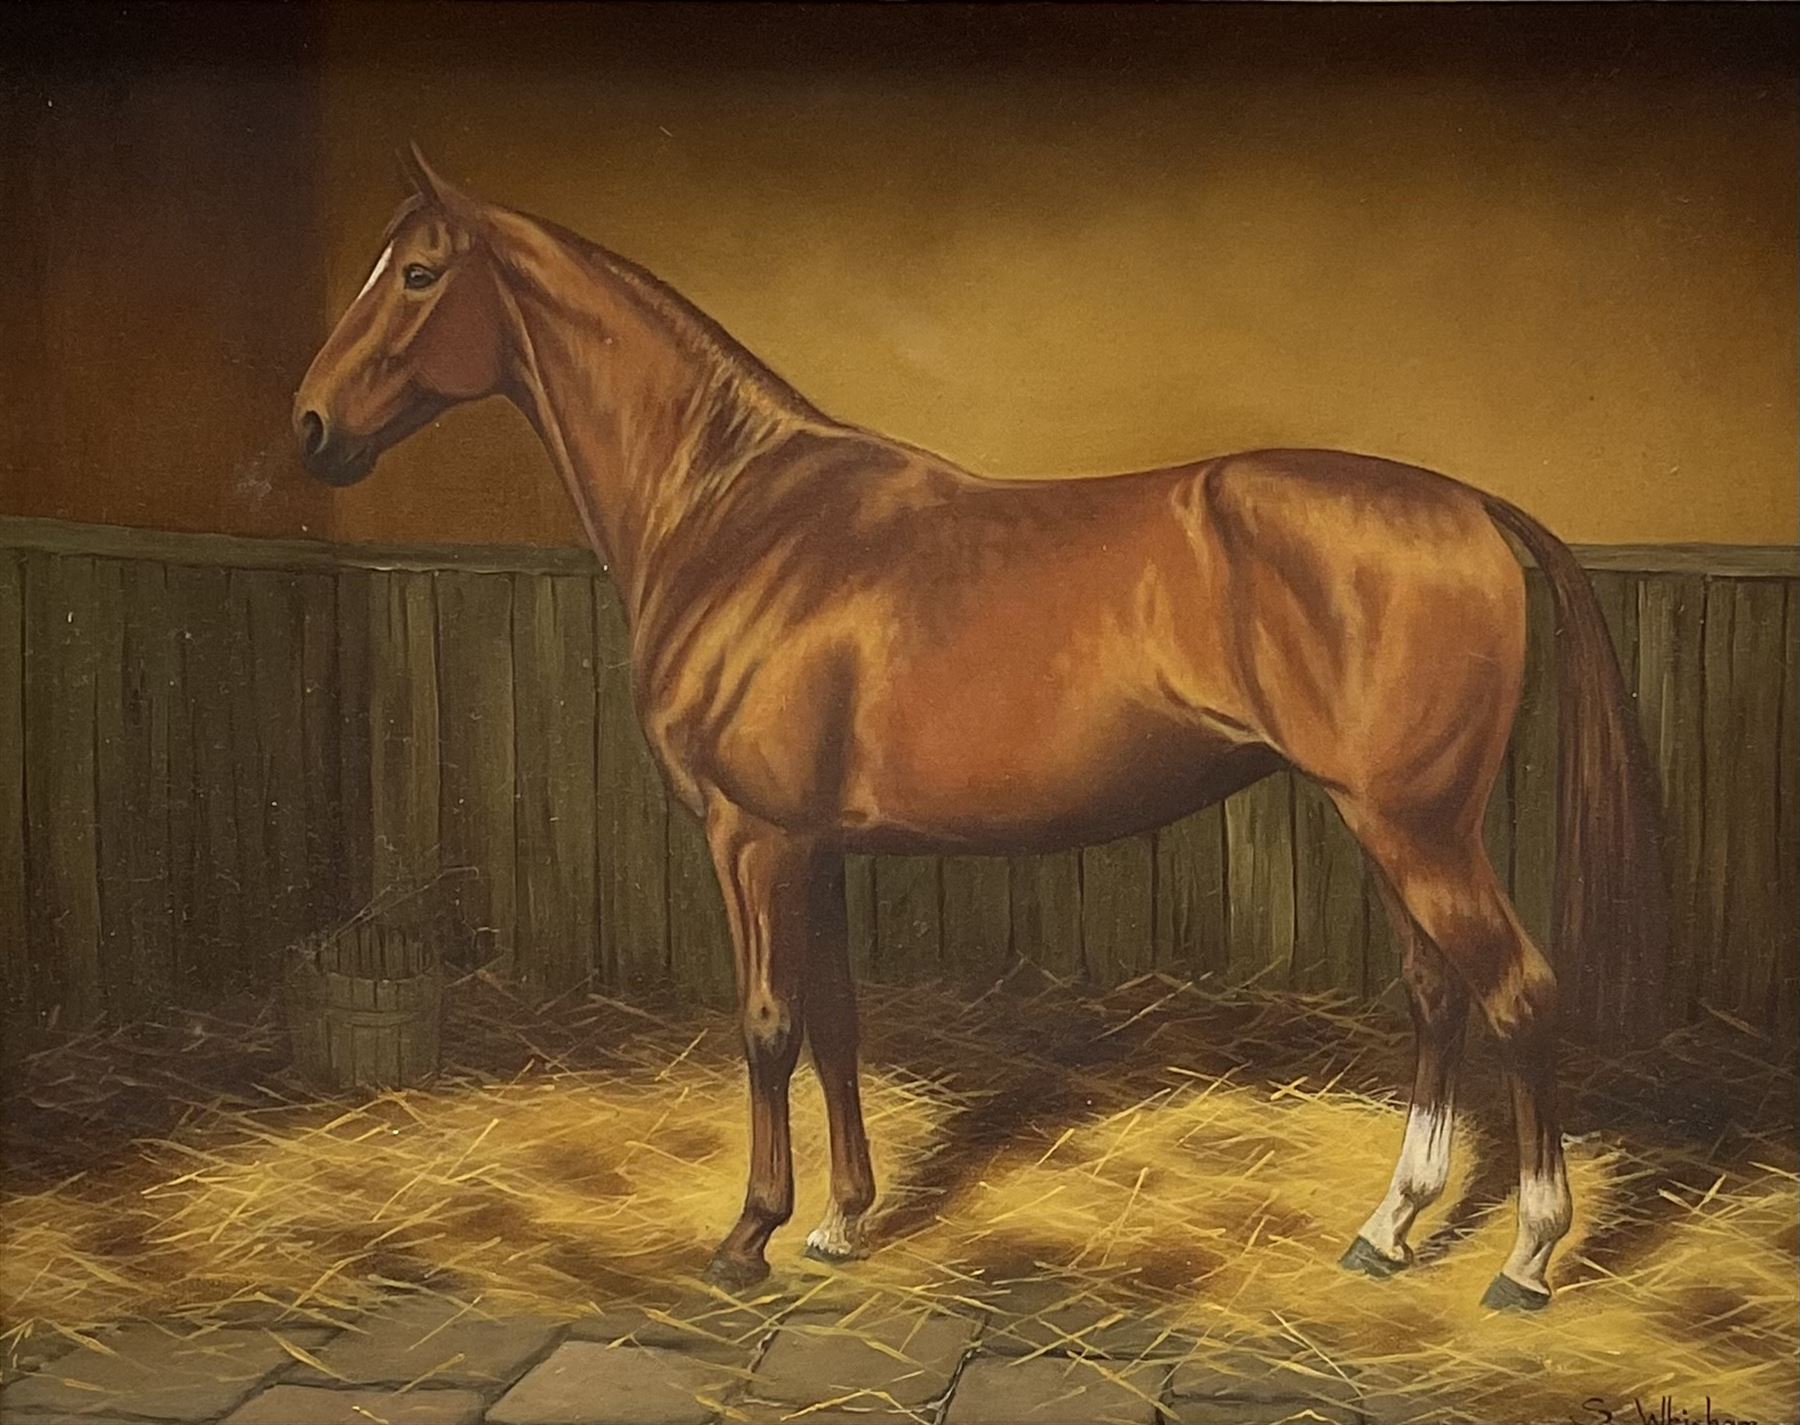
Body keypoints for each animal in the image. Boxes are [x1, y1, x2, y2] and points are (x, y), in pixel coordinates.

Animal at [294, 147, 1667, 1311]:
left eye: (418, 272)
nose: (309, 428)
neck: (737, 510)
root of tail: (1468, 503)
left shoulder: (752, 838)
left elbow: (767, 1027)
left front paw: (750, 1233)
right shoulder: (818, 848)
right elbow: (837, 1020)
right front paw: (843, 1220)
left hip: (1416, 828)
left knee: (1517, 994)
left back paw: (1530, 1257)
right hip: (1393, 824)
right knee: (1440, 995)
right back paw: (1390, 1228)